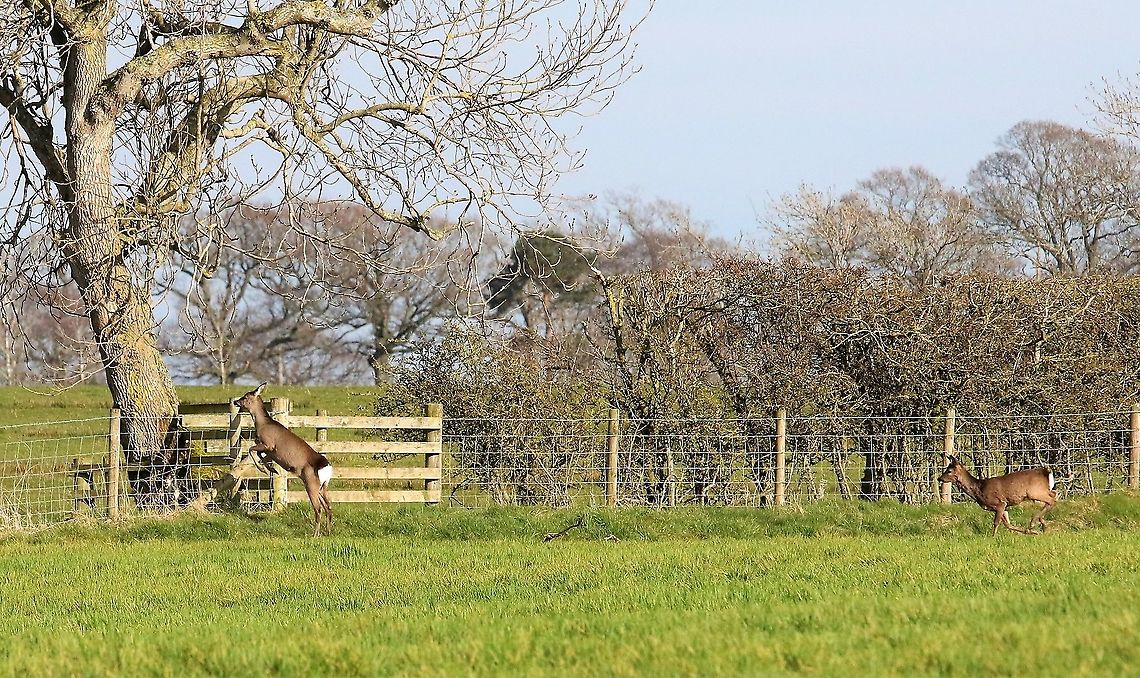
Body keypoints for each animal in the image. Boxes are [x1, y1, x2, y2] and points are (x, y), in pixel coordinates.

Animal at [232, 383, 333, 536]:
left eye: (245, 396)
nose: (235, 401)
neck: (262, 424)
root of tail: (326, 467)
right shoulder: (269, 450)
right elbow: (259, 455)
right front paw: (271, 469)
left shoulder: (269, 444)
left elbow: (251, 450)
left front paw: (264, 469)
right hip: (322, 486)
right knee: (328, 506)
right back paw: (327, 532)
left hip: (311, 484)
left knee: (319, 509)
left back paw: (315, 535)